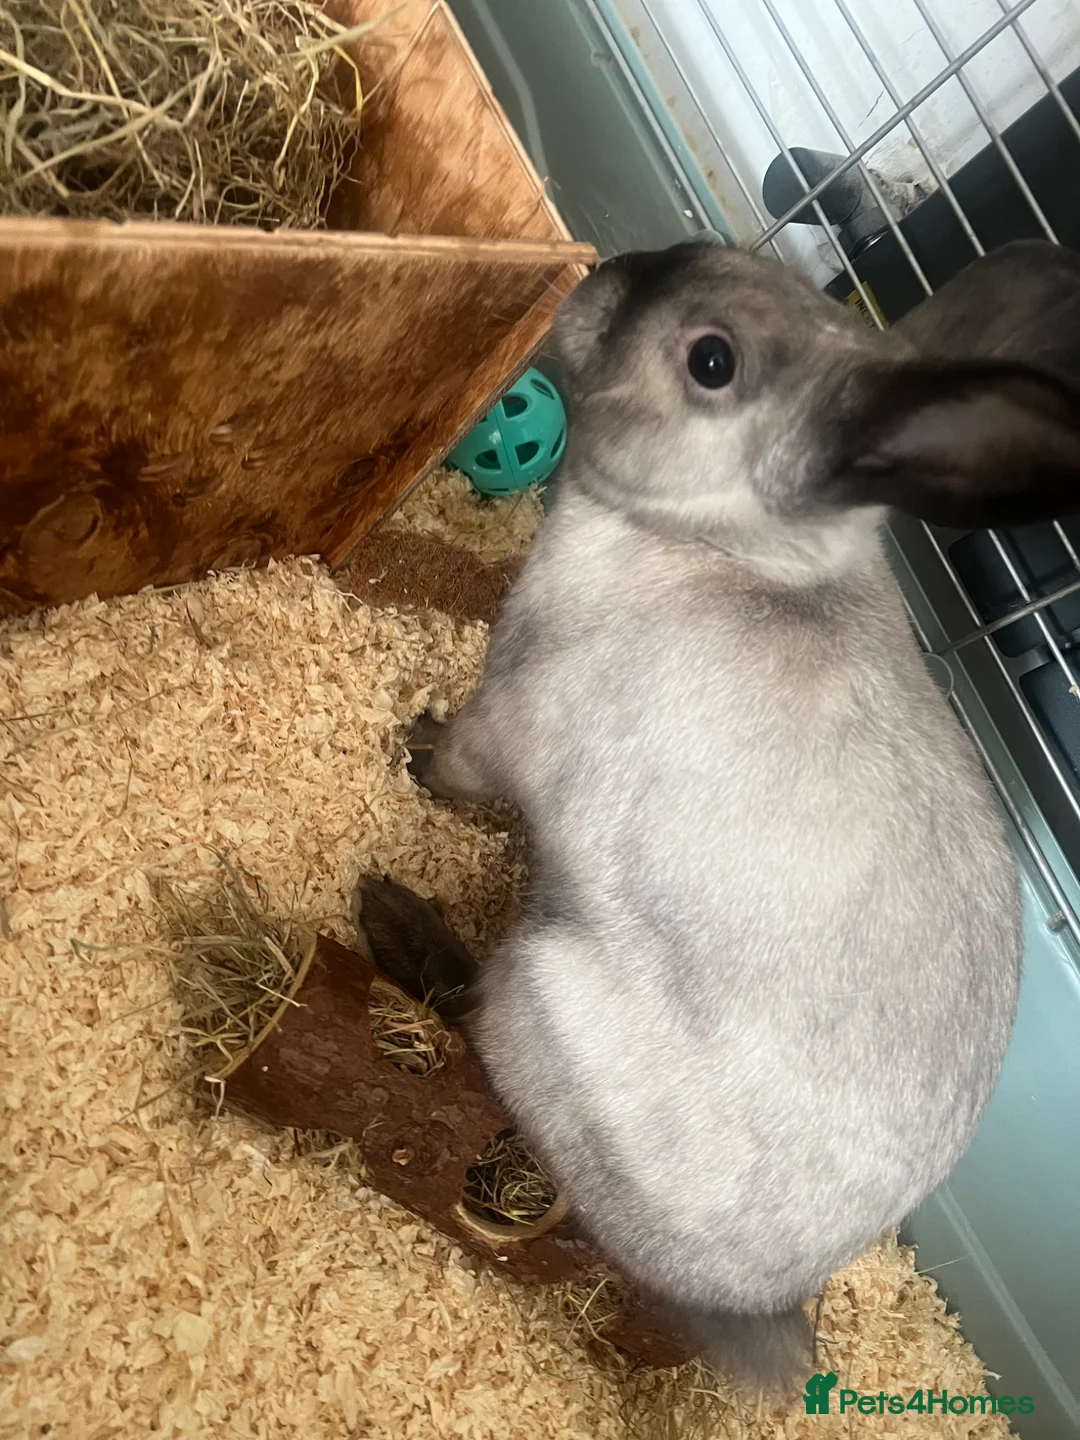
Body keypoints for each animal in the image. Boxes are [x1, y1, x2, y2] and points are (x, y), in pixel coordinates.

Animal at [403, 241, 1080, 1393]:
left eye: (711, 361)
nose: (612, 271)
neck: (719, 547)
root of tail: (765, 1298)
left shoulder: (515, 718)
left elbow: (463, 762)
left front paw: (411, 751)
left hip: (540, 982)